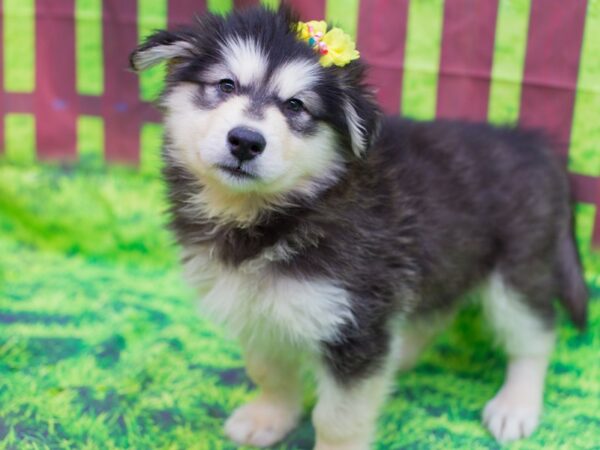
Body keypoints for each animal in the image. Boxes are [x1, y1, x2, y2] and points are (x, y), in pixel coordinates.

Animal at [130, 5, 584, 448]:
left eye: (296, 106)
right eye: (225, 85)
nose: (245, 141)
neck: (275, 214)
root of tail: (534, 145)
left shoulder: (355, 322)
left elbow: (337, 418)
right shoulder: (257, 308)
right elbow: (268, 371)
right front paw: (269, 417)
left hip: (517, 272)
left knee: (536, 336)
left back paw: (516, 405)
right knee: (434, 313)